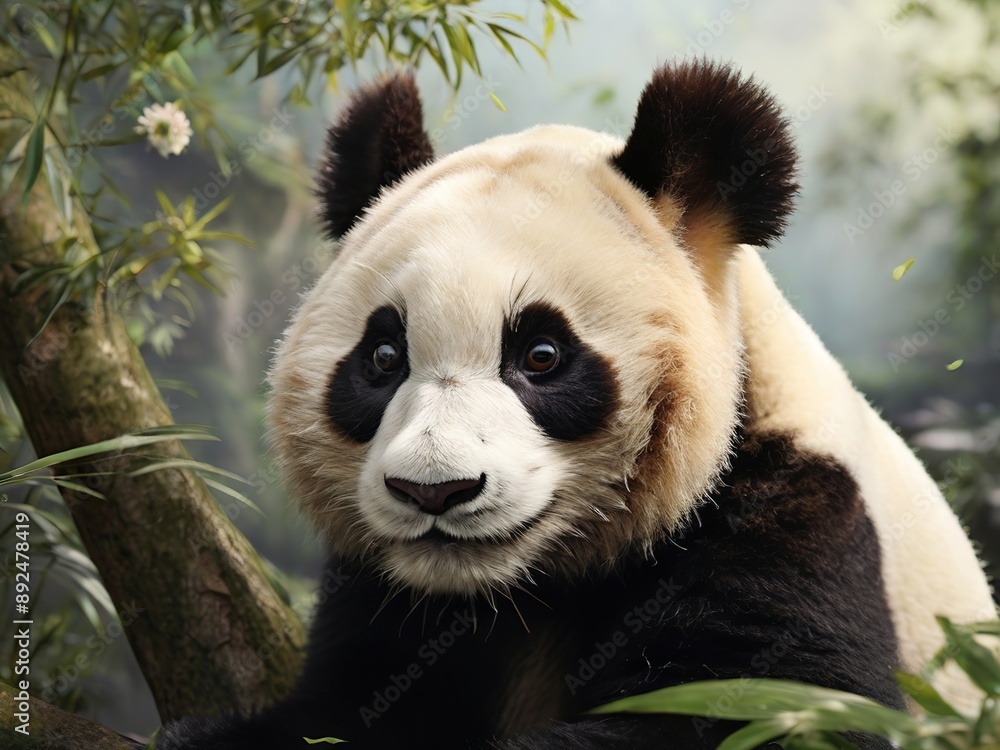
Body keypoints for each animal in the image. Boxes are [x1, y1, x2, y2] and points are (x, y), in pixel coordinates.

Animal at [158, 59, 995, 749]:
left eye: (541, 356)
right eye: (384, 359)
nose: (435, 491)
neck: (528, 586)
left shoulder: (800, 512)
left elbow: (770, 713)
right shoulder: (386, 590)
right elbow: (347, 703)